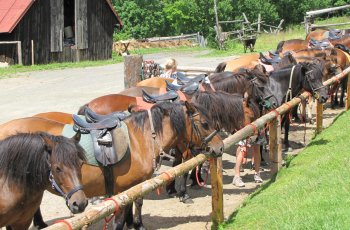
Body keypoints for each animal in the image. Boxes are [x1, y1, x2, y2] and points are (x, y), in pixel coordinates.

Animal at [0, 101, 223, 230]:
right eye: (204, 123)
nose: (220, 146)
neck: (140, 139)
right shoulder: (123, 189)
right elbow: (122, 214)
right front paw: (134, 224)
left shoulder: (135, 185)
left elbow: (136, 202)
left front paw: (135, 223)